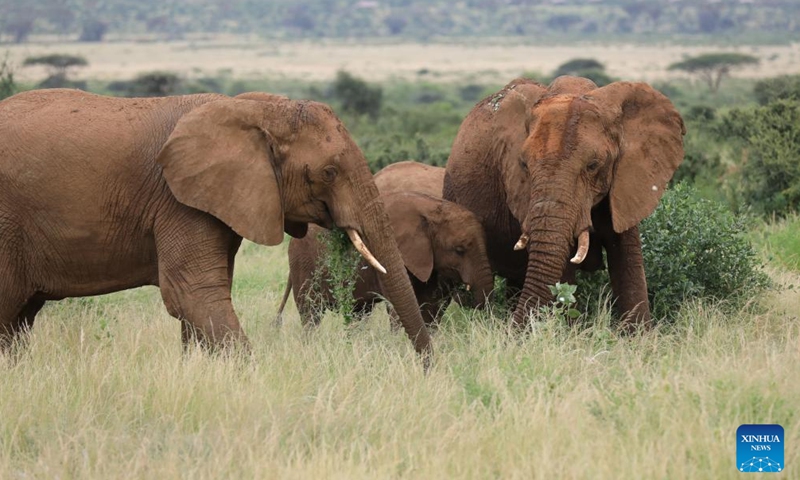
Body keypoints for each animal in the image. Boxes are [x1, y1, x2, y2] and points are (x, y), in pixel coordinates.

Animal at [0, 89, 432, 357]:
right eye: (328, 172)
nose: (428, 368)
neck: (253, 109)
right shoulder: (178, 200)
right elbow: (194, 295)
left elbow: (200, 302)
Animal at [277, 190, 494, 327]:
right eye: (459, 250)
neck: (431, 208)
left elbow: (431, 308)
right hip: (303, 264)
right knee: (311, 314)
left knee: (357, 314)